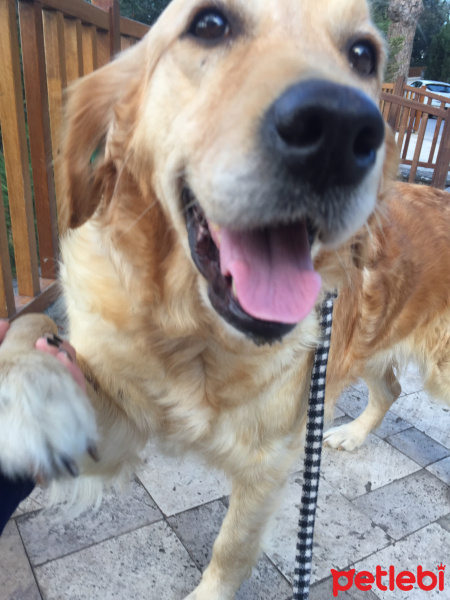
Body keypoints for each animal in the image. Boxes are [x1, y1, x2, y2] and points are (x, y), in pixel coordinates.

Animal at [0, 0, 394, 596]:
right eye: (209, 24)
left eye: (363, 55)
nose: (340, 127)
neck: (193, 333)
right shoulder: (116, 424)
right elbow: (30, 331)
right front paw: (34, 399)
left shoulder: (269, 463)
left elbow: (231, 548)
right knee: (391, 386)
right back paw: (350, 435)